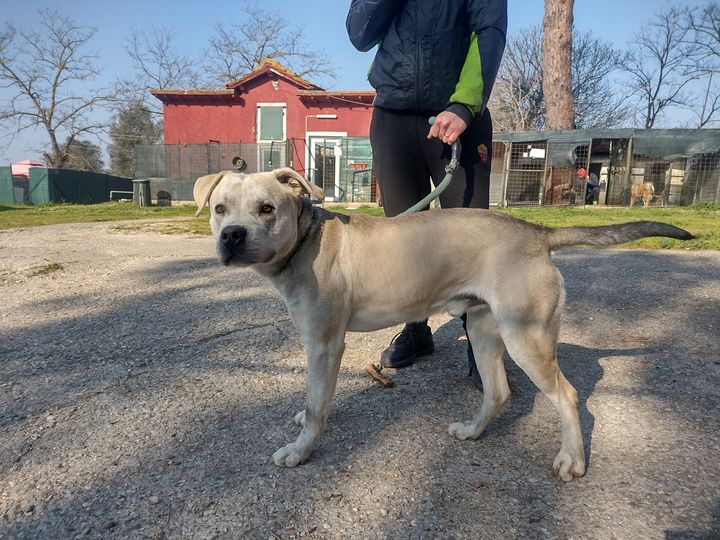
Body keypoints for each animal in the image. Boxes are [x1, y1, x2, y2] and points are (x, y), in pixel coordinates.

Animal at [193, 168, 692, 480]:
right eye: (219, 209)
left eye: (266, 208)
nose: (231, 236)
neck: (305, 239)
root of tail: (536, 232)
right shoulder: (319, 347)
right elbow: (316, 400)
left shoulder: (324, 344)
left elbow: (317, 407)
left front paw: (300, 450)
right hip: (486, 333)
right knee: (499, 391)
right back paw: (473, 431)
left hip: (526, 338)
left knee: (567, 396)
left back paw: (572, 459)